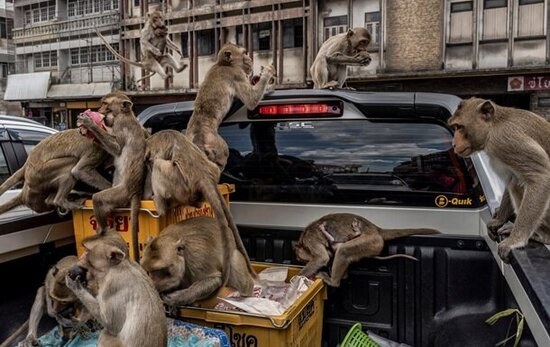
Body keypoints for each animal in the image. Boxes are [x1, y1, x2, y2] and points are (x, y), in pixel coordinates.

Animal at [77, 91, 148, 260]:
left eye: (105, 104)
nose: (99, 110)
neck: (125, 114)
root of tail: (136, 191)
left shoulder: (120, 125)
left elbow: (116, 148)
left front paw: (90, 124)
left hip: (122, 193)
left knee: (99, 198)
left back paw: (102, 231)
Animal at [142, 130, 254, 280]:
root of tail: (203, 175)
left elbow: (153, 164)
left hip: (178, 183)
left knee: (158, 164)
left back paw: (160, 205)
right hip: (209, 172)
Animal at [187, 42, 280, 172]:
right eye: (244, 53)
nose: (250, 59)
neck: (223, 64)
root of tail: (198, 139)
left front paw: (256, 79)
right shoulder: (237, 75)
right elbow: (251, 100)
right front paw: (268, 74)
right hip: (218, 146)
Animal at [298, 213, 440, 286]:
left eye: (302, 260)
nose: (303, 262)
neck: (303, 238)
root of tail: (376, 229)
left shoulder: (310, 239)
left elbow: (322, 258)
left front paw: (297, 278)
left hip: (372, 241)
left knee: (343, 251)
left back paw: (334, 282)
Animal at [448, 96, 550, 262]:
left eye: (459, 127)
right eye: (455, 127)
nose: (453, 143)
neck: (493, 127)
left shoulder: (506, 141)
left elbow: (541, 176)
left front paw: (515, 241)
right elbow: (511, 176)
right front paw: (499, 219)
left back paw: (542, 235)